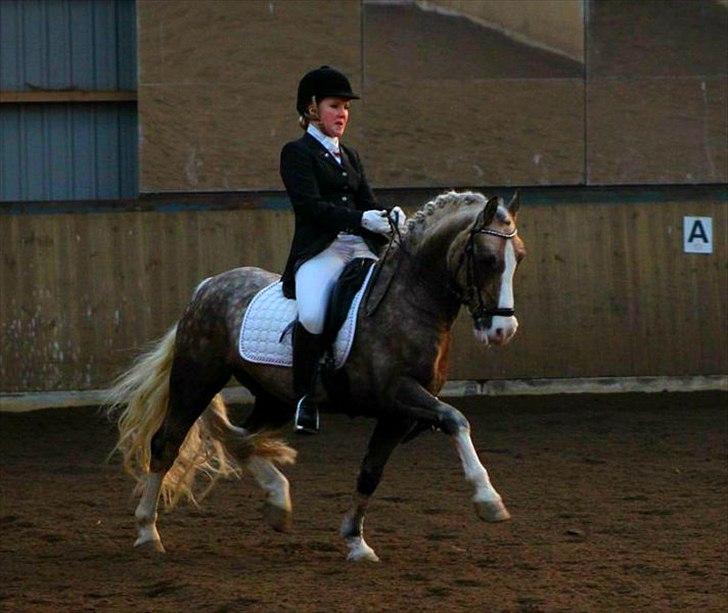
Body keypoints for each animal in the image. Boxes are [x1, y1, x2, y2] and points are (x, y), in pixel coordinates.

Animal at [106, 190, 526, 562]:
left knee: (241, 438)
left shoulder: (398, 414)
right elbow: (456, 419)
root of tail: (207, 287)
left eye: (518, 258)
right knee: (167, 443)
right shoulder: (398, 393)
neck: (408, 301)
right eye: (487, 259)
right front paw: (488, 500)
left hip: (274, 396)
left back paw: (278, 501)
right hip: (196, 378)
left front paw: (356, 542)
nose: (503, 331)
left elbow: (370, 472)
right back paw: (148, 533)